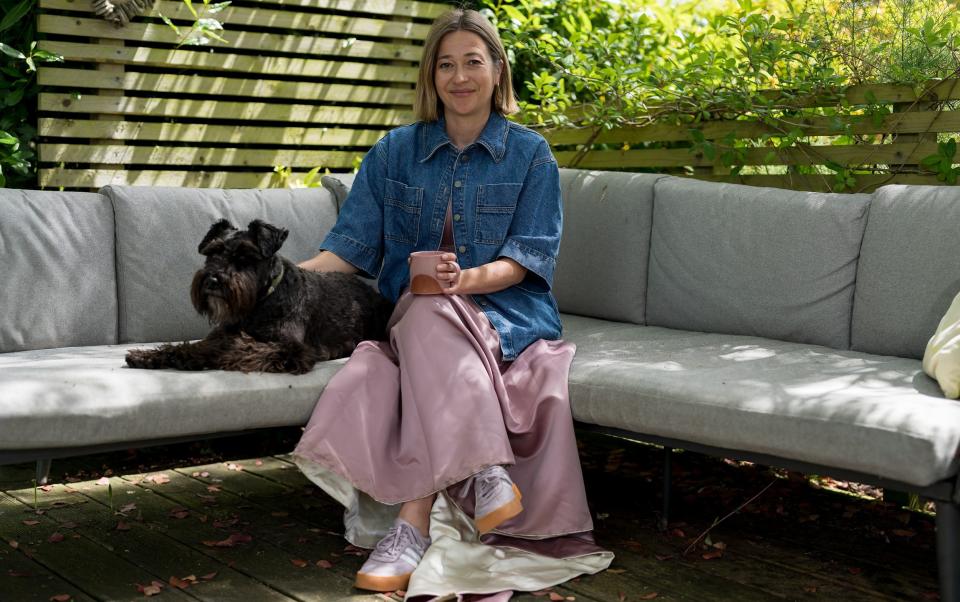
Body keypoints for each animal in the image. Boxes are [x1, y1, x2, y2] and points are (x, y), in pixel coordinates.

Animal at [124, 218, 394, 372]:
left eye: (245, 257)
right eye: (212, 253)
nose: (212, 280)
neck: (260, 303)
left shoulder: (290, 350)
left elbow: (229, 347)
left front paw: (191, 357)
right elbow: (201, 343)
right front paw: (149, 355)